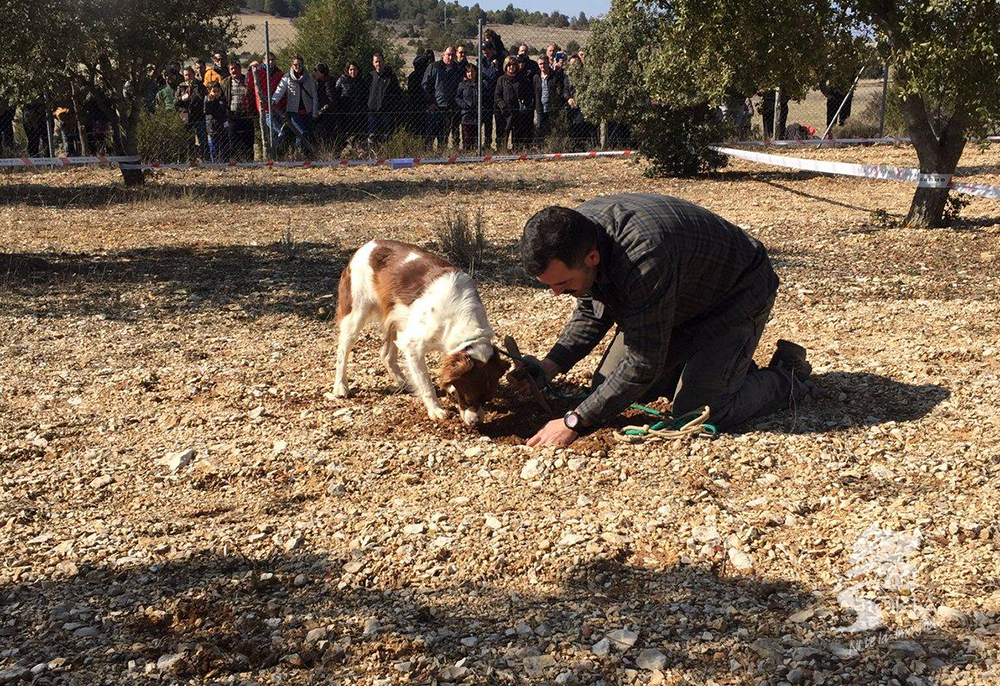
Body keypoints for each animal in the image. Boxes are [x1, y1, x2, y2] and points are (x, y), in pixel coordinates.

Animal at [334, 241, 508, 424]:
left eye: (487, 399)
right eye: (468, 399)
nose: (476, 422)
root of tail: (368, 244)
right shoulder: (413, 345)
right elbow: (426, 384)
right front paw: (436, 409)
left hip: (397, 318)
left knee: (386, 355)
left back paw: (402, 382)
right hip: (356, 314)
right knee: (342, 351)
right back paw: (341, 386)